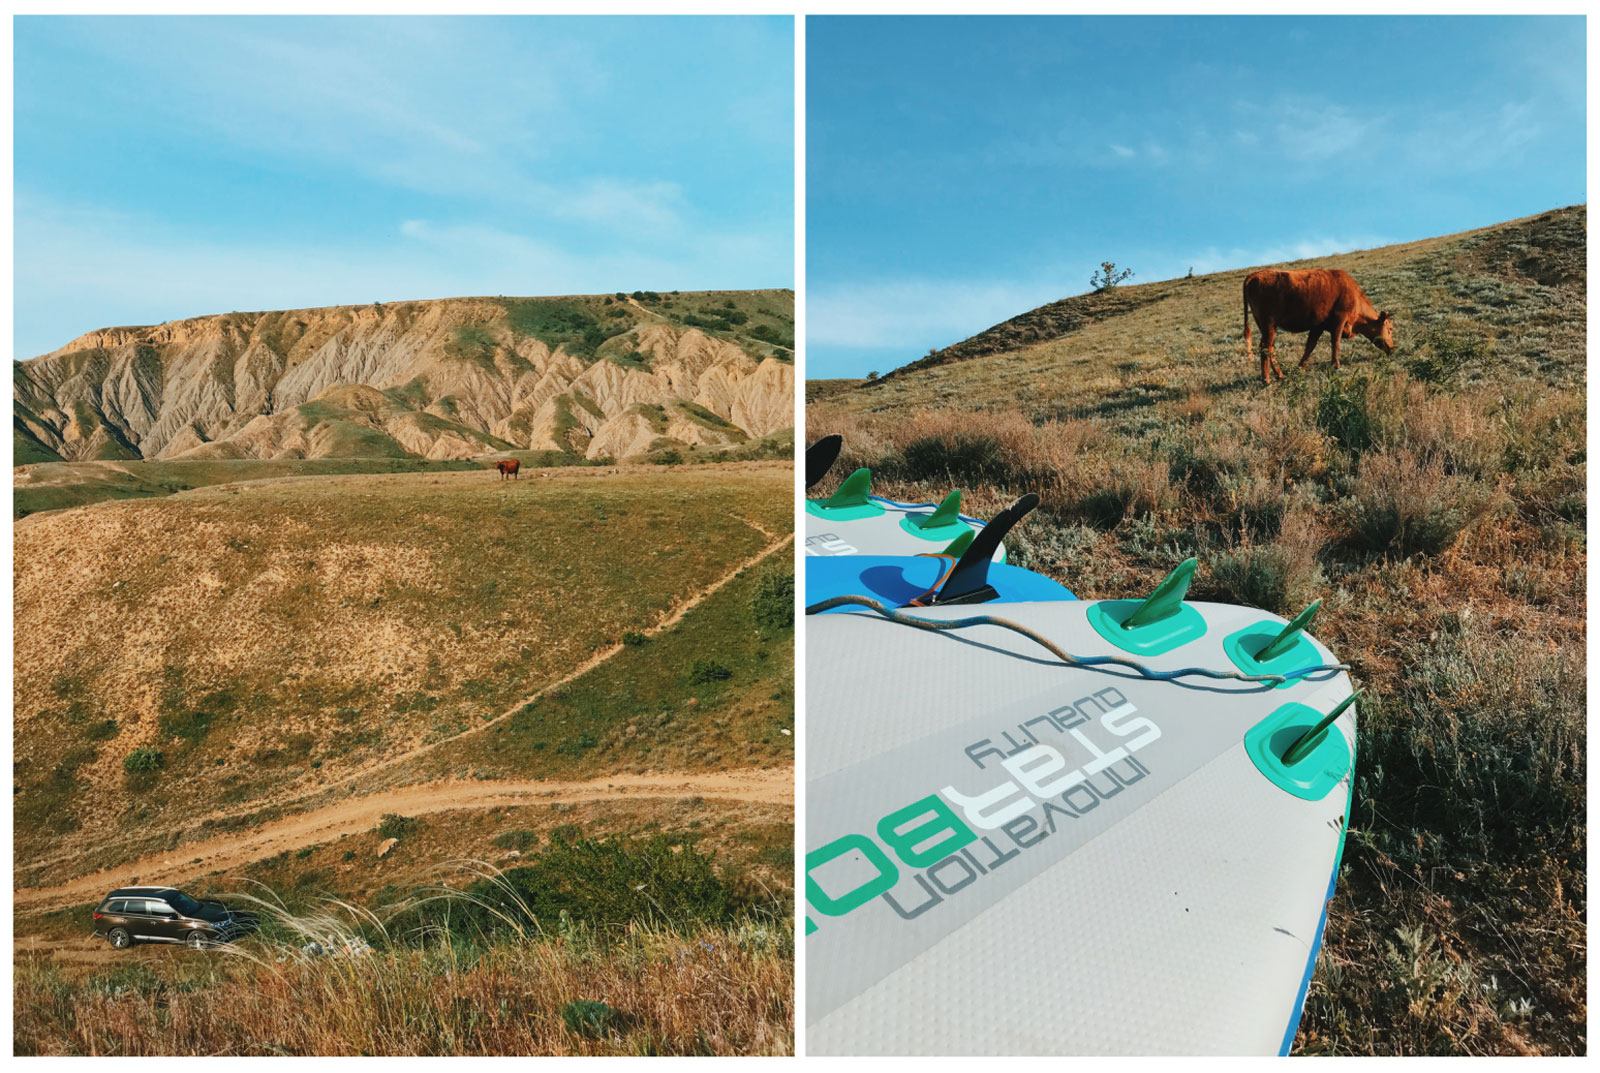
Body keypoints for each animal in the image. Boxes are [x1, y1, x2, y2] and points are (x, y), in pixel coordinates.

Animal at [1241, 268, 1395, 386]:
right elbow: (1335, 343)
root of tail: (1254, 275)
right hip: (1269, 325)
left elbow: (1310, 346)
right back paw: (1267, 379)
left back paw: (1279, 375)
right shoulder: (1340, 319)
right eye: (1390, 329)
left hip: (1266, 327)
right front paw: (1336, 365)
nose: (1393, 348)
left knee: (1269, 347)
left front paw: (1300, 367)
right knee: (1266, 348)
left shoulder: (1318, 326)